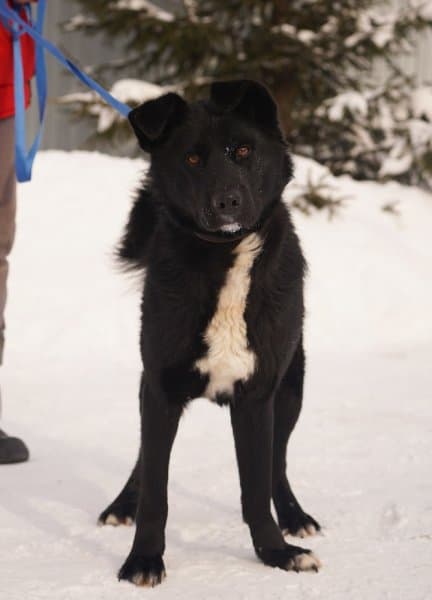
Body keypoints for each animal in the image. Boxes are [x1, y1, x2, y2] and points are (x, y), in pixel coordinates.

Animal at [98, 80, 321, 586]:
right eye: (193, 159)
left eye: (243, 150)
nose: (227, 203)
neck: (226, 256)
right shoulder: (160, 388)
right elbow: (155, 491)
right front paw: (143, 559)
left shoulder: (258, 396)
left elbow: (257, 488)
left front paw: (277, 552)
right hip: (149, 387)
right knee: (144, 458)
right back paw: (123, 502)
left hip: (292, 389)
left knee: (278, 464)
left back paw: (294, 515)